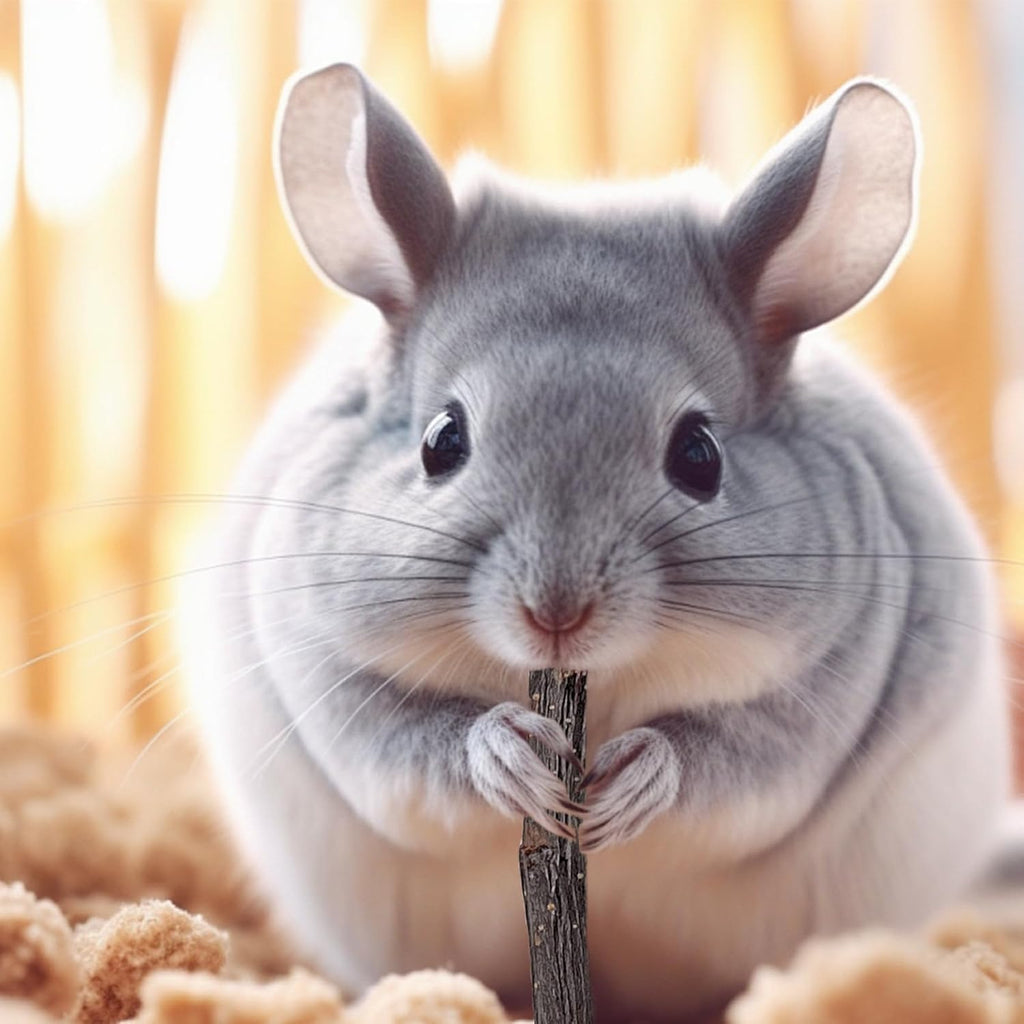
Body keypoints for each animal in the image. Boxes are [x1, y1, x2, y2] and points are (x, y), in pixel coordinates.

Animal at [181, 64, 1012, 1021]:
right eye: (440, 441)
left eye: (700, 455)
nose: (555, 615)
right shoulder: (325, 675)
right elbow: (416, 741)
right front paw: (514, 759)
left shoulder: (822, 701)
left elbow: (730, 759)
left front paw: (632, 783)